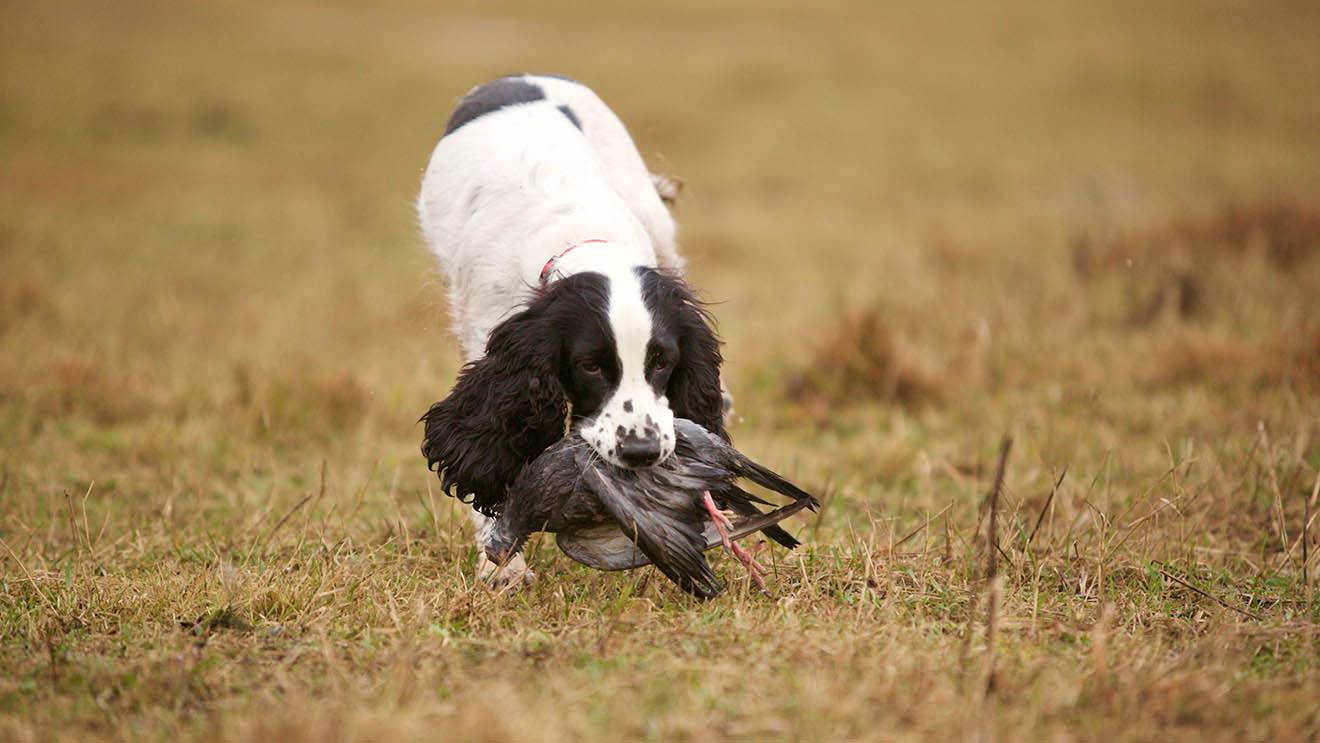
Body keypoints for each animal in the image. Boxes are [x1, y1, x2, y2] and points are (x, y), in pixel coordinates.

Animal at [417, 77, 728, 588]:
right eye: (590, 366)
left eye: (662, 360)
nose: (642, 451)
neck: (578, 238)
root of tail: (519, 77)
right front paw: (502, 567)